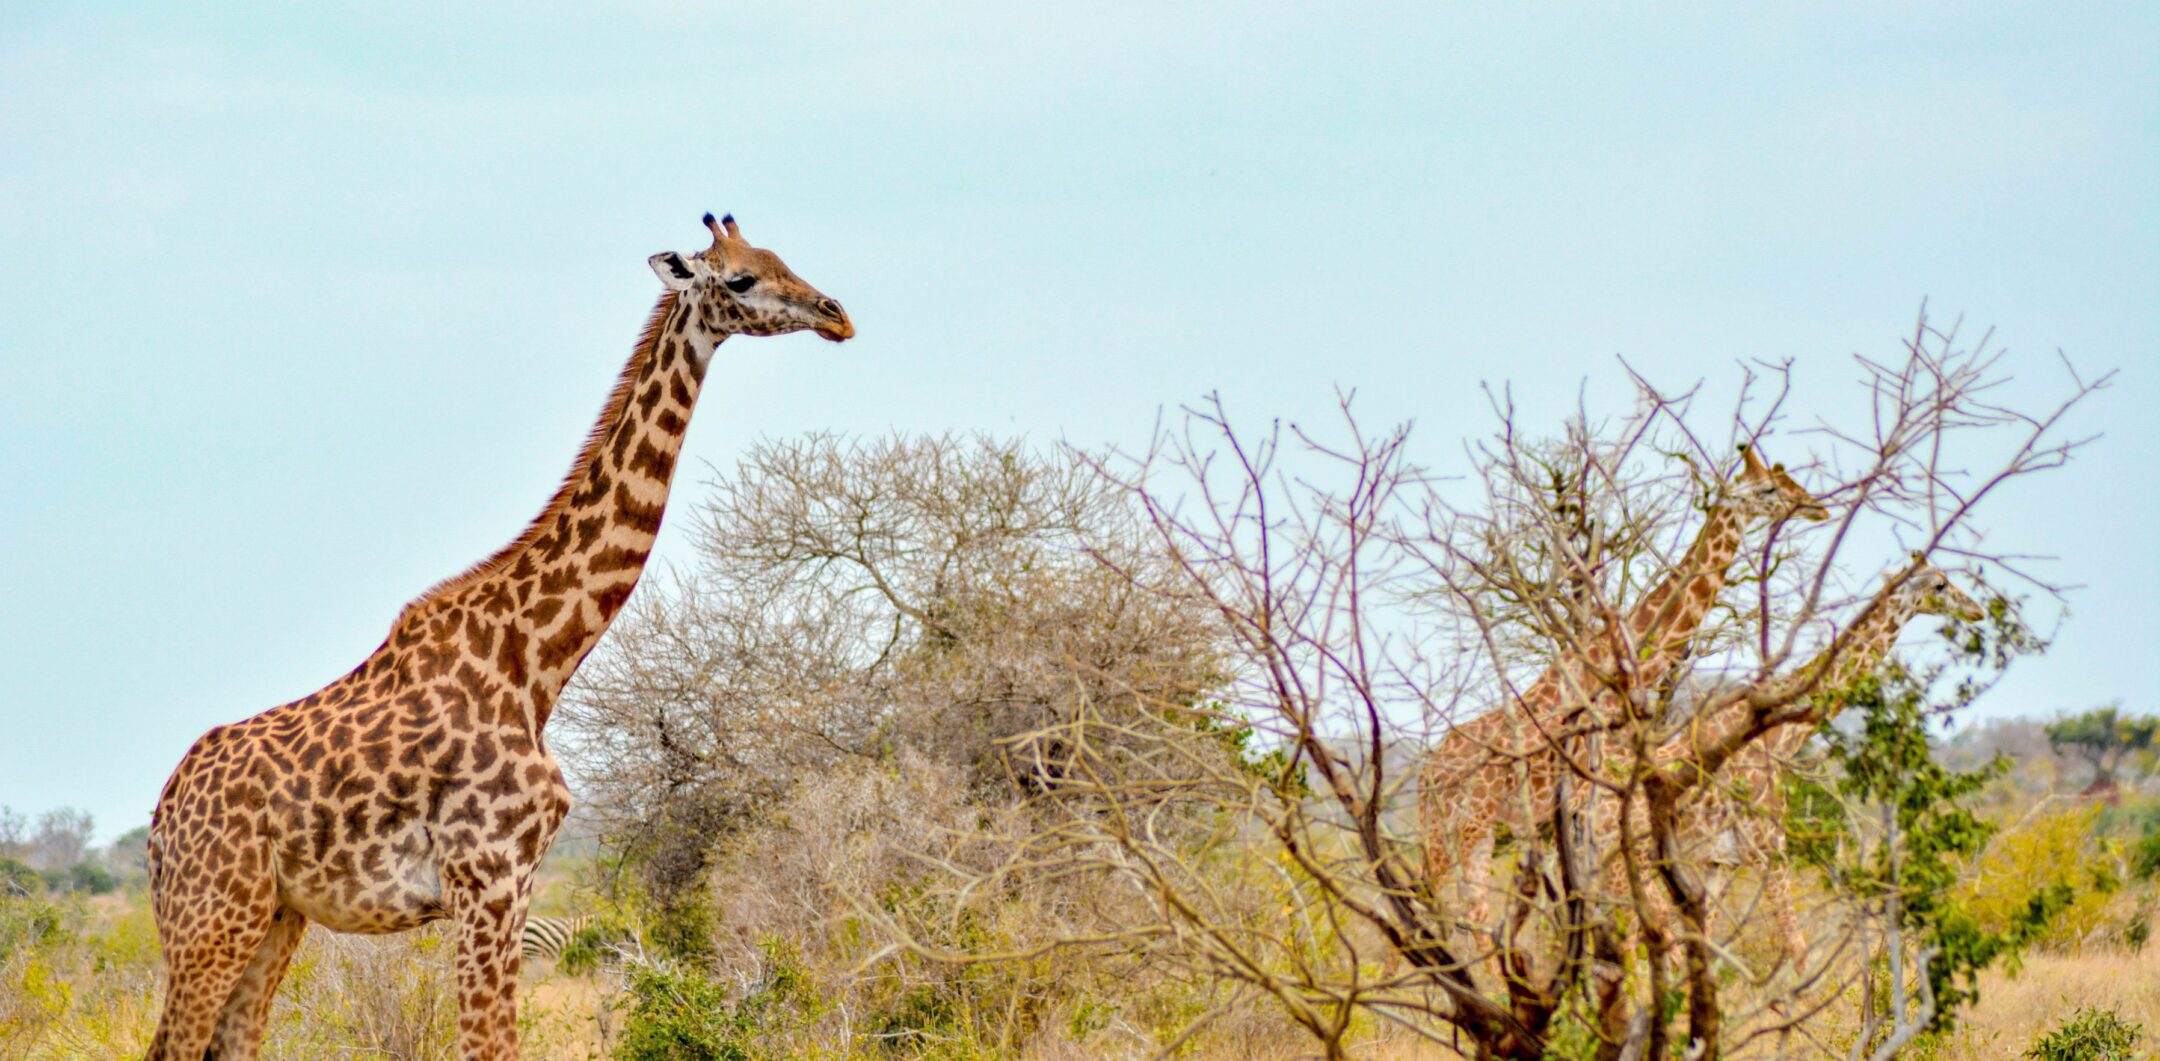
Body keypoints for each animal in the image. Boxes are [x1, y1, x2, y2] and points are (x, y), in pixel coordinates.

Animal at [144, 213, 852, 1060]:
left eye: (781, 257)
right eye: (741, 278)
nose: (837, 314)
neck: (536, 659)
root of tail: (162, 815)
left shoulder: (515, 884)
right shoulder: (487, 878)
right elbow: (488, 1044)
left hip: (276, 914)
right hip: (212, 914)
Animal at [1417, 445, 1827, 926]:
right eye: (1768, 490)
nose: (1816, 506)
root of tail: (1426, 773)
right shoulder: (1590, 797)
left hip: (1470, 831)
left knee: (1464, 908)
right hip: (1459, 827)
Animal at [1594, 557, 1985, 971]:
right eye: (1941, 585)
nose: (1977, 610)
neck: (1779, 736)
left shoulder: (1723, 862)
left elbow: (1705, 946)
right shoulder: (1770, 849)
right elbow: (1797, 948)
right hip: (1627, 863)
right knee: (1634, 937)